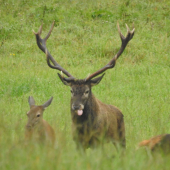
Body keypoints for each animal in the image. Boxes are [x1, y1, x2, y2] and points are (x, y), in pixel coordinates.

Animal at [32, 21, 134, 151]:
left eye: (87, 91)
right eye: (71, 90)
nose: (76, 106)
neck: (85, 129)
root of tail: (120, 112)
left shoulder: (97, 140)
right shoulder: (78, 142)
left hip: (121, 137)